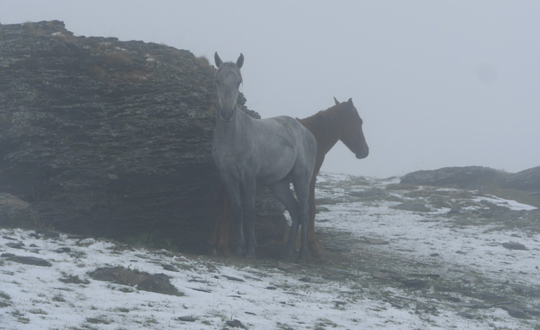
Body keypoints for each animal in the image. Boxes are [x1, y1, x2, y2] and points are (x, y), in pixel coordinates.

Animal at [209, 98, 370, 258]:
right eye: (360, 121)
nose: (365, 151)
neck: (314, 136)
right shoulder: (310, 179)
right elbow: (311, 209)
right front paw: (313, 247)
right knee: (227, 208)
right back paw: (224, 247)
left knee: (221, 206)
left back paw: (217, 245)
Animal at [213, 52, 318, 262]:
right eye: (218, 80)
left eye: (238, 82)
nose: (227, 114)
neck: (233, 136)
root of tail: (307, 133)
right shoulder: (228, 177)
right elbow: (237, 211)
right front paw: (238, 249)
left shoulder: (249, 177)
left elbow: (250, 211)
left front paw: (251, 251)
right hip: (279, 184)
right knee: (294, 211)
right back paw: (287, 253)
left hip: (301, 179)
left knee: (304, 212)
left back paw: (302, 254)